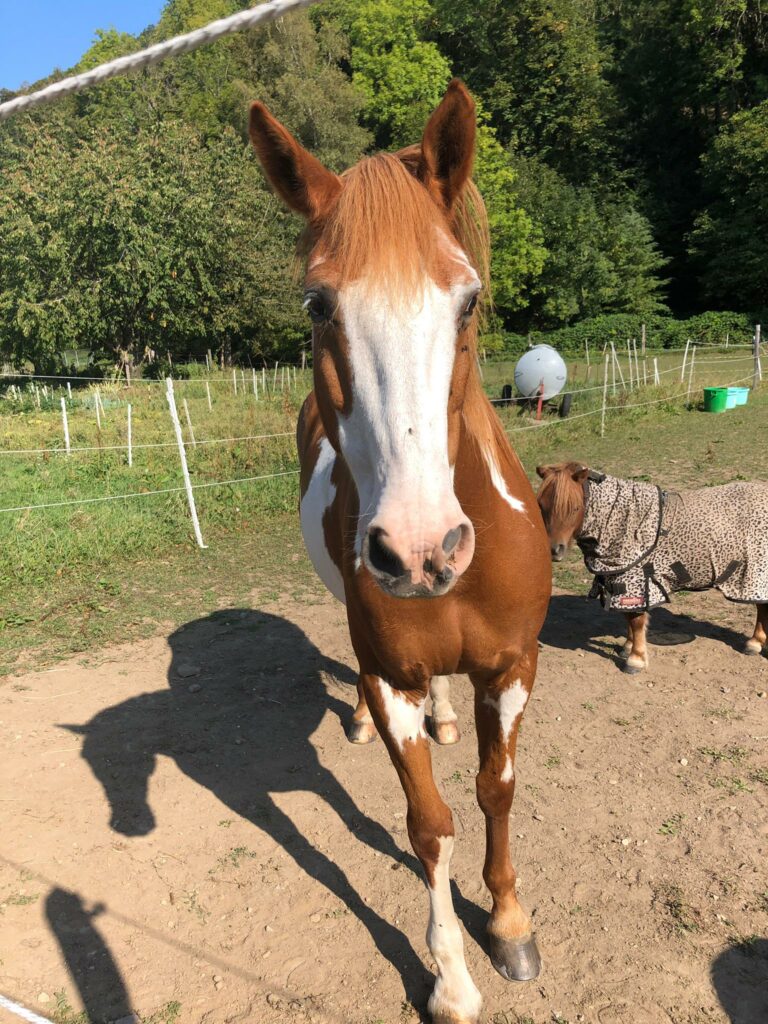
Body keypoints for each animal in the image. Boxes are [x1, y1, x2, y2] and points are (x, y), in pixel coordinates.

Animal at [248, 80, 551, 1023]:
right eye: (319, 306)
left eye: (467, 300)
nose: (419, 552)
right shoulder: (391, 680)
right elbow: (429, 826)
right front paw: (451, 976)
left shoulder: (514, 665)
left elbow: (496, 788)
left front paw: (511, 924)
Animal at [536, 462, 768, 673]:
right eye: (541, 505)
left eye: (574, 507)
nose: (554, 550)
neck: (623, 520)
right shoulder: (619, 580)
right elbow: (628, 617)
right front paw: (627, 647)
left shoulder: (637, 580)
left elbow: (637, 620)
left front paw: (635, 660)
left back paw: (754, 643)